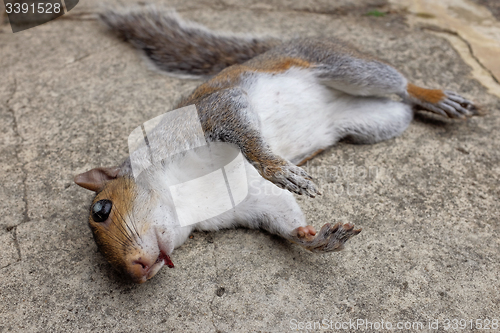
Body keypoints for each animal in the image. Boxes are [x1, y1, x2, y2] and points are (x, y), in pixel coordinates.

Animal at [73, 5, 476, 282]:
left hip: (347, 67)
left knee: (400, 84)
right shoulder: (250, 201)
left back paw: (436, 96)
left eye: (101, 210)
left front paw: (280, 169)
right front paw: (315, 238)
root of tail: (282, 44)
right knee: (402, 106)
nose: (135, 272)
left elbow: (245, 133)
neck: (182, 195)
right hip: (376, 121)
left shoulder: (211, 113)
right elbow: (283, 216)